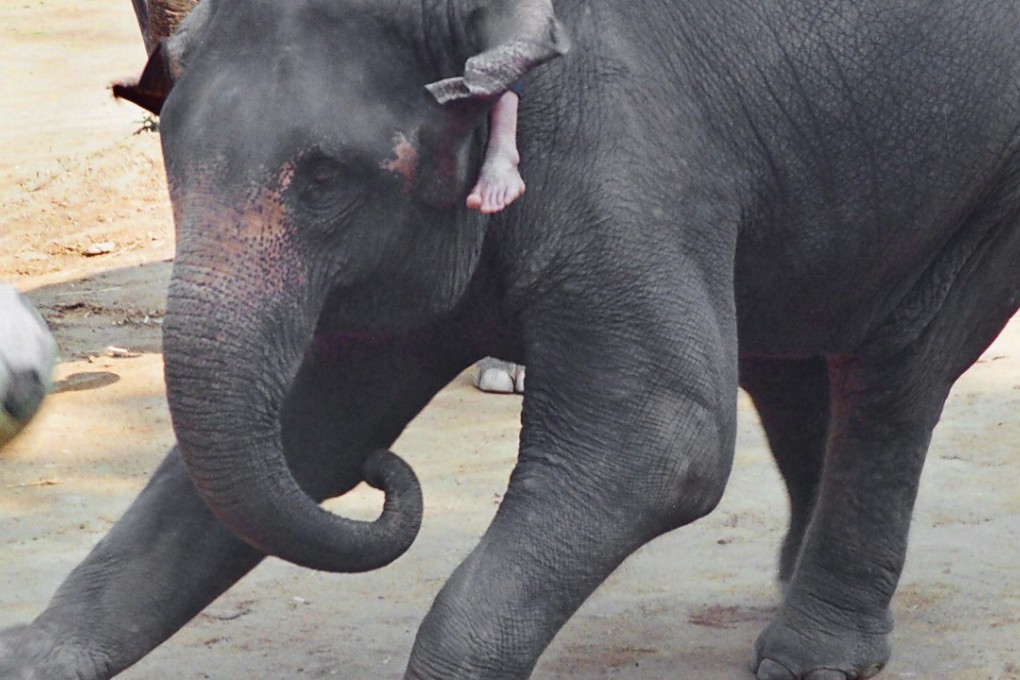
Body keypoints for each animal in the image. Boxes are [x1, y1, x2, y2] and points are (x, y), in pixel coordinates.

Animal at [2, 0, 1019, 678]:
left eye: (324, 178)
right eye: (167, 151)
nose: (389, 474)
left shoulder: (629, 152)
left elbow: (661, 442)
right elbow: (308, 438)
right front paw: (34, 654)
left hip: (995, 175)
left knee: (896, 371)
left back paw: (813, 653)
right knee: (792, 358)